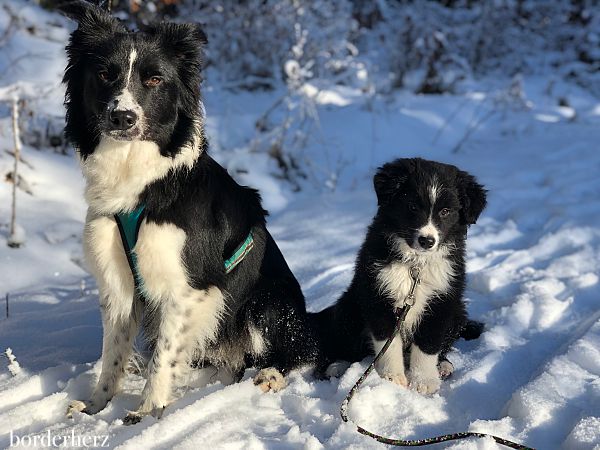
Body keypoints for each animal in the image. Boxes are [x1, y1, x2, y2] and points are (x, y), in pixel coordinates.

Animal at [58, 0, 322, 422]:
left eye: (153, 80)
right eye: (103, 74)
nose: (122, 118)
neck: (142, 186)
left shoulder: (188, 287)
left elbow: (163, 356)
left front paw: (146, 412)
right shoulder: (117, 284)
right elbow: (113, 352)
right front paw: (97, 406)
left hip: (266, 302)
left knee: (296, 350)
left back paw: (269, 375)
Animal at [314, 158, 488, 394]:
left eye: (445, 211)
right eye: (412, 206)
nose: (427, 241)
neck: (415, 265)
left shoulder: (442, 301)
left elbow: (428, 344)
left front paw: (424, 381)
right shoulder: (377, 293)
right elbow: (388, 341)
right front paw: (392, 378)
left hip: (457, 311)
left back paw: (443, 366)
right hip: (349, 308)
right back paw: (336, 365)